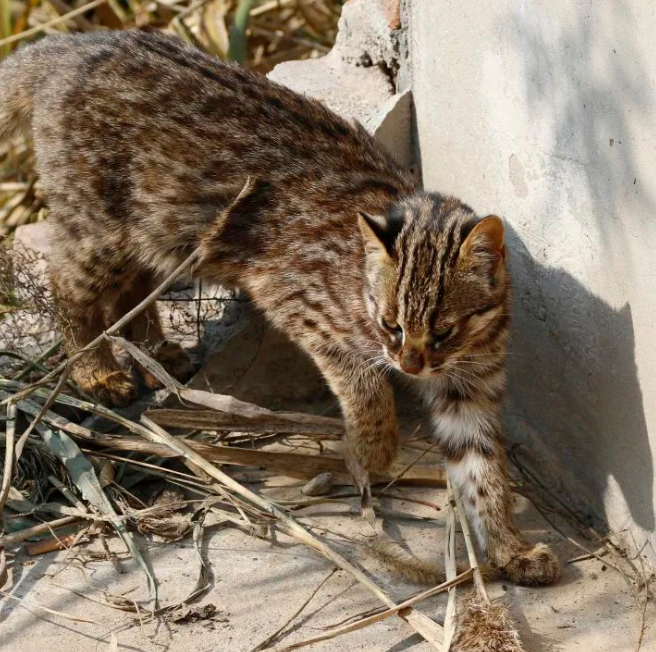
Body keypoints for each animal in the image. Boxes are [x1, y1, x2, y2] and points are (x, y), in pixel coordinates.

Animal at [0, 30, 560, 584]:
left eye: (444, 330)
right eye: (391, 325)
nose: (410, 366)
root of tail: (73, 44)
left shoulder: (470, 389)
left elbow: (483, 469)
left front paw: (509, 547)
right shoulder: (300, 308)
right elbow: (367, 393)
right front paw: (371, 453)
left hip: (155, 232)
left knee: (135, 286)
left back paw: (156, 351)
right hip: (98, 226)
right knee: (66, 281)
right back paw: (94, 371)